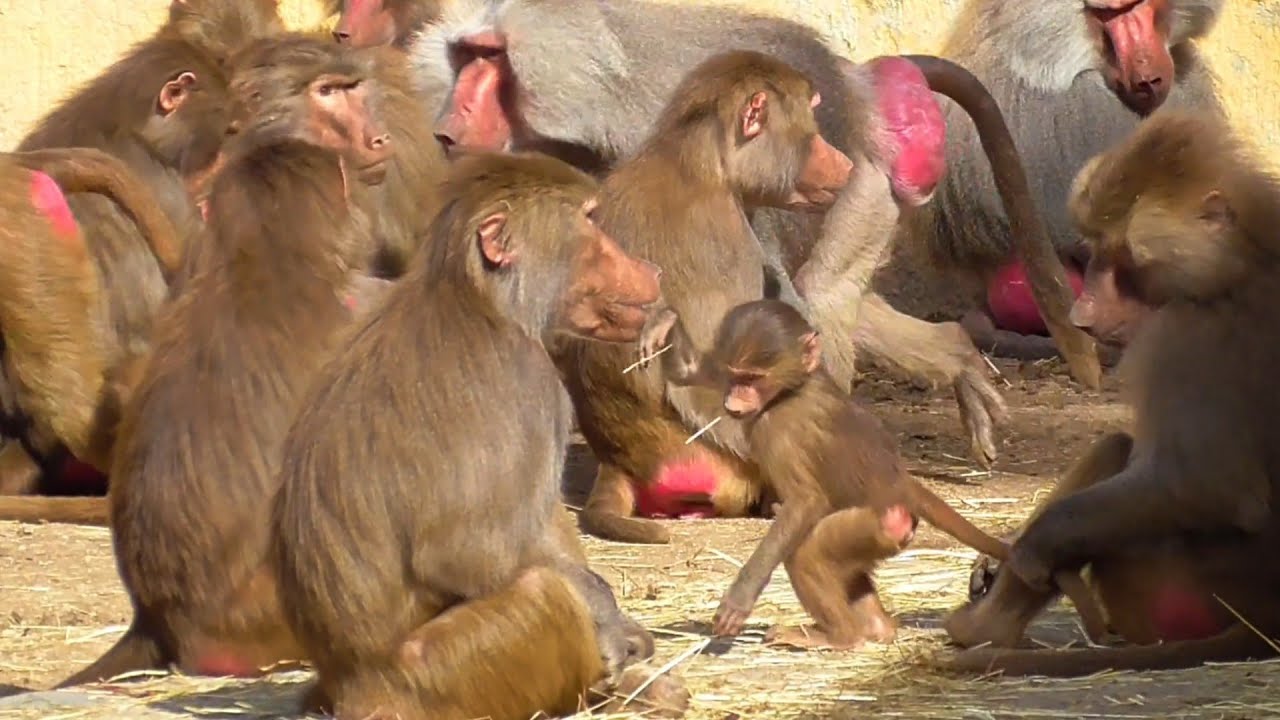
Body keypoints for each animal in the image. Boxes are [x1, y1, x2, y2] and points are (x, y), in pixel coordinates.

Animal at [51, 41, 395, 688]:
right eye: (328, 94)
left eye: (350, 90)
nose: (379, 137)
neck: (260, 257)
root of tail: (160, 621)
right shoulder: (358, 312)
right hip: (268, 621)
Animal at [269, 151, 688, 720]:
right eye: (591, 220)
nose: (649, 269)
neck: (484, 300)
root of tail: (349, 687)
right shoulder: (529, 381)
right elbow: (464, 552)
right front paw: (610, 625)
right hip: (440, 675)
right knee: (539, 591)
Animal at [413, 0, 1098, 471]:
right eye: (464, 56)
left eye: (490, 58)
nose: (449, 125)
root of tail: (857, 84)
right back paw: (955, 359)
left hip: (865, 186)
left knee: (819, 294)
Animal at [939, 110, 1280, 676]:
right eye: (1094, 251)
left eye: (1121, 256)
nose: (1082, 316)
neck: (1240, 256)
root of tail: (1265, 620)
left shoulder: (1185, 334)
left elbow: (1203, 485)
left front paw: (1030, 547)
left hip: (1173, 589)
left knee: (1117, 450)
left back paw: (983, 629)